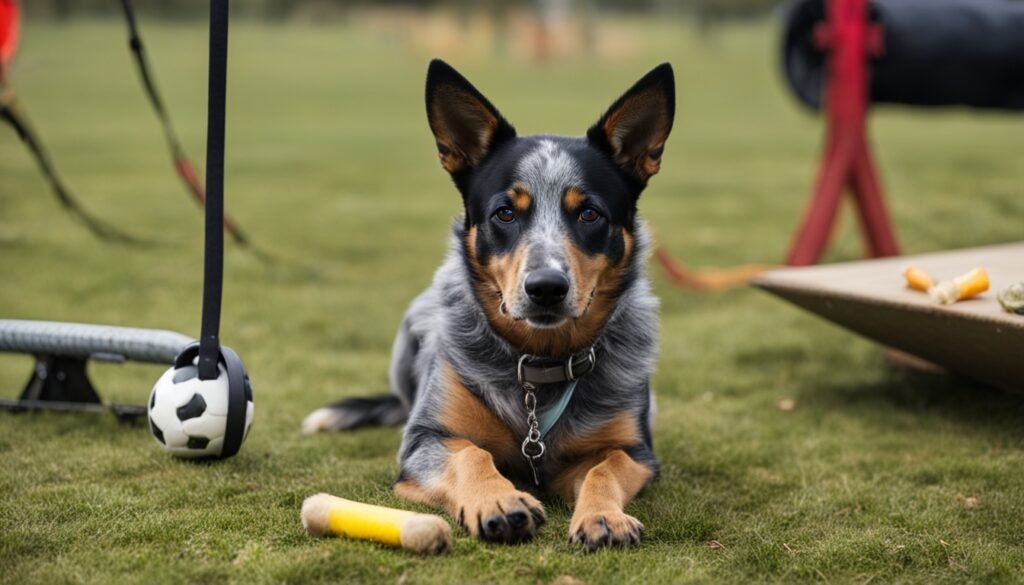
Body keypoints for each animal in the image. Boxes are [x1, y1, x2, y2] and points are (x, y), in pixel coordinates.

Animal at [301, 59, 671, 549]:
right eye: (505, 213)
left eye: (589, 213)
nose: (546, 287)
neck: (540, 363)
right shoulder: (426, 440)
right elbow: (470, 455)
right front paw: (498, 500)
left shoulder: (635, 451)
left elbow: (604, 469)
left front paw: (604, 516)